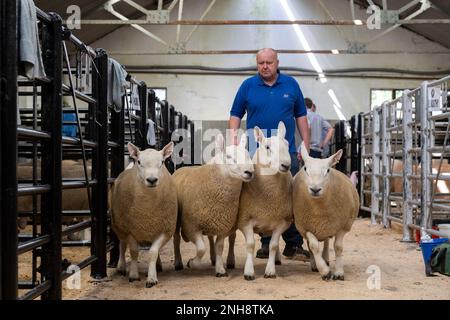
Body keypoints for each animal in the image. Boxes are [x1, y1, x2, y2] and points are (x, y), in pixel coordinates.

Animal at [110, 141, 178, 286]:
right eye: (139, 162)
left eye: (162, 162)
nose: (152, 180)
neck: (147, 210)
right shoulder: (129, 229)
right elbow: (134, 251)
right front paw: (134, 275)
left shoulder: (165, 229)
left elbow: (153, 252)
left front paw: (152, 277)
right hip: (119, 225)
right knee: (122, 245)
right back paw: (121, 267)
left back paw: (158, 265)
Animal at [174, 133, 255, 278]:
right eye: (228, 156)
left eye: (247, 155)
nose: (249, 172)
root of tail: (182, 167)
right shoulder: (191, 226)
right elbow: (201, 248)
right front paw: (192, 263)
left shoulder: (223, 224)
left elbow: (219, 246)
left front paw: (220, 269)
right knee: (176, 239)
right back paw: (178, 263)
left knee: (214, 238)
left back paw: (215, 259)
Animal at [237, 121, 294, 282]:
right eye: (267, 147)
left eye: (287, 144)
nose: (286, 165)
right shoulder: (245, 220)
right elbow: (250, 245)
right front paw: (249, 272)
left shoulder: (282, 222)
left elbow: (273, 245)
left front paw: (270, 271)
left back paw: (277, 259)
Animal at [292, 142, 358, 280]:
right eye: (305, 169)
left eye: (327, 170)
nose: (315, 189)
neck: (318, 210)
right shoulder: (305, 227)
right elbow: (313, 246)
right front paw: (324, 271)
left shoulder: (343, 226)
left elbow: (338, 247)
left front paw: (338, 272)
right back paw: (315, 265)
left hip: (328, 225)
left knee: (327, 241)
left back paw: (326, 259)